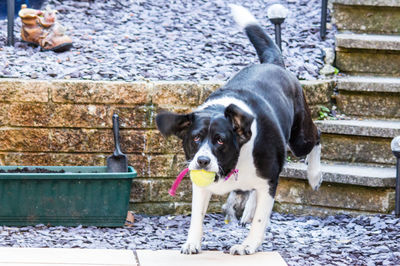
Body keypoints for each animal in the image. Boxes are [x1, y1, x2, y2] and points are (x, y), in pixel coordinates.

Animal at [156, 3, 322, 254]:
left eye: (220, 140)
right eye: (195, 138)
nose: (202, 161)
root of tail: (273, 64)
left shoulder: (268, 180)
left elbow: (261, 220)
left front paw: (248, 246)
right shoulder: (202, 184)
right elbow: (197, 216)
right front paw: (192, 243)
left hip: (299, 138)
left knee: (317, 137)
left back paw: (314, 176)